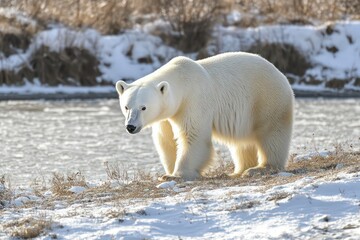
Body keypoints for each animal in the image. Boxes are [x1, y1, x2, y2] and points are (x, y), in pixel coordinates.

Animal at [116, 52, 294, 180]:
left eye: (143, 107)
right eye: (126, 107)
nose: (130, 126)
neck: (181, 80)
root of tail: (281, 74)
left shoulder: (193, 101)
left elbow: (193, 136)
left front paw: (177, 175)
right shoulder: (167, 115)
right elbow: (166, 139)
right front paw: (169, 171)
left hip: (265, 100)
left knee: (272, 134)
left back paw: (260, 168)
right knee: (242, 142)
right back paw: (237, 171)